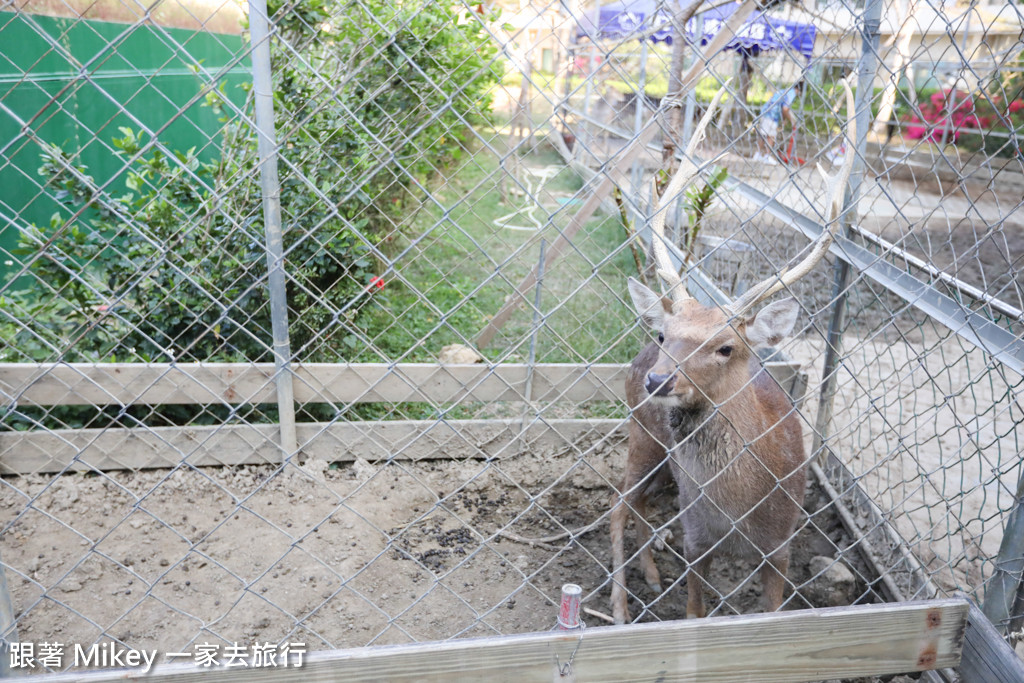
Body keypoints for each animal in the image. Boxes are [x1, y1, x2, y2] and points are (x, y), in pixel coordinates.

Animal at [606, 77, 856, 622]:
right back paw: (621, 604)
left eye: (725, 347)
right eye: (666, 334)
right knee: (618, 504)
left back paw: (650, 575)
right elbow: (695, 613)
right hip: (642, 433)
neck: (740, 514)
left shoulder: (782, 545)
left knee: (638, 503)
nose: (659, 379)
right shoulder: (695, 537)